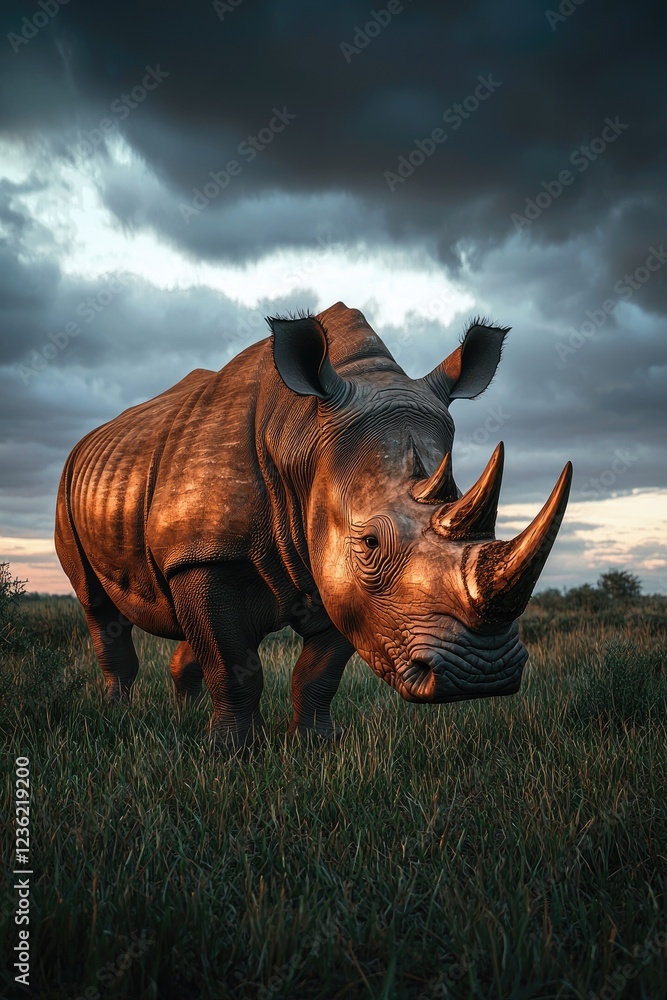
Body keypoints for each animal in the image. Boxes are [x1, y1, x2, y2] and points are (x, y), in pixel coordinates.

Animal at [55, 302, 571, 751]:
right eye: (369, 542)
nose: (483, 673)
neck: (300, 434)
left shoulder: (342, 580)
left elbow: (319, 671)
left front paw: (313, 744)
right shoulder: (207, 552)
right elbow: (231, 662)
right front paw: (232, 752)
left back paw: (185, 715)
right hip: (69, 482)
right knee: (98, 607)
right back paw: (118, 713)